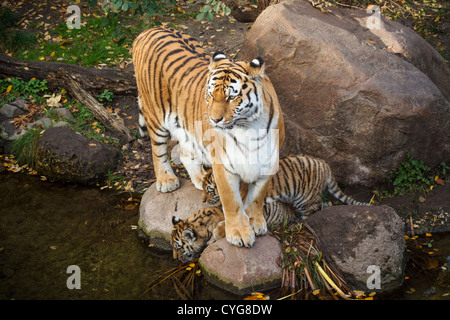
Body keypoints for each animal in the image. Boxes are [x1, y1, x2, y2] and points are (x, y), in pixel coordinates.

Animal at [132, 26, 284, 248]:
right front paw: (238, 233)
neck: (249, 128)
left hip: (186, 128)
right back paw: (167, 180)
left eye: (231, 97)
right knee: (157, 150)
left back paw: (198, 179)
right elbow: (232, 201)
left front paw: (255, 222)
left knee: (185, 152)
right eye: (211, 95)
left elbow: (256, 197)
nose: (214, 119)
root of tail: (149, 29)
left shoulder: (266, 162)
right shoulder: (224, 164)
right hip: (155, 115)